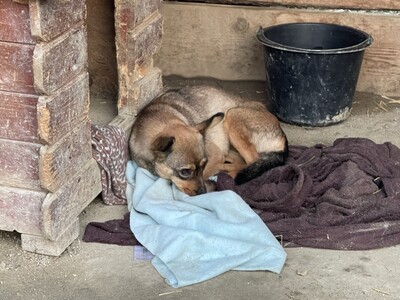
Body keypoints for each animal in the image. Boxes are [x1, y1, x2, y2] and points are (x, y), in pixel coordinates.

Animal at [129, 85, 288, 196]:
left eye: (203, 165)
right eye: (185, 172)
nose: (203, 192)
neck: (162, 119)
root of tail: (282, 135)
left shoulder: (215, 157)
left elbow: (205, 174)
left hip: (232, 116)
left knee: (251, 160)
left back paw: (228, 176)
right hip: (229, 145)